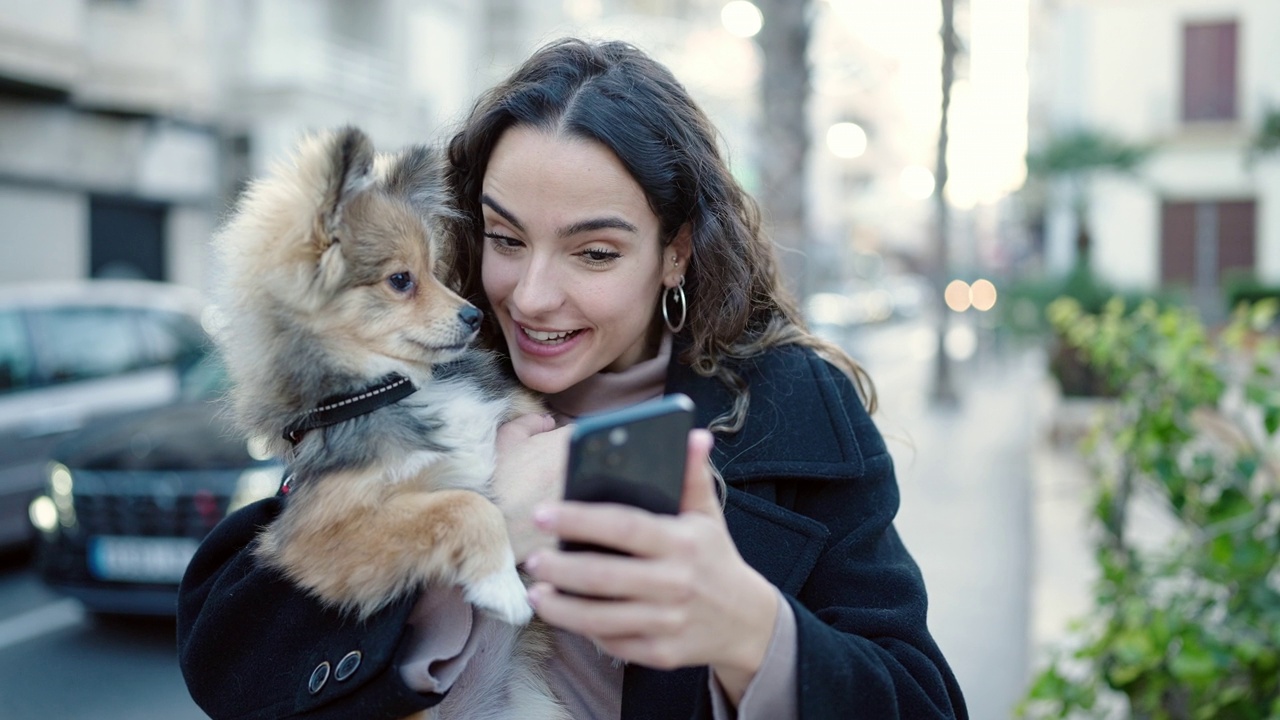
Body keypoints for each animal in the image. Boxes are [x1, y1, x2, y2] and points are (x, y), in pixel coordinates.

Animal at [209, 126, 565, 712]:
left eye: (435, 272)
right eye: (401, 280)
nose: (474, 315)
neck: (397, 389)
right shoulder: (325, 537)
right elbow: (465, 505)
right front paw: (500, 585)